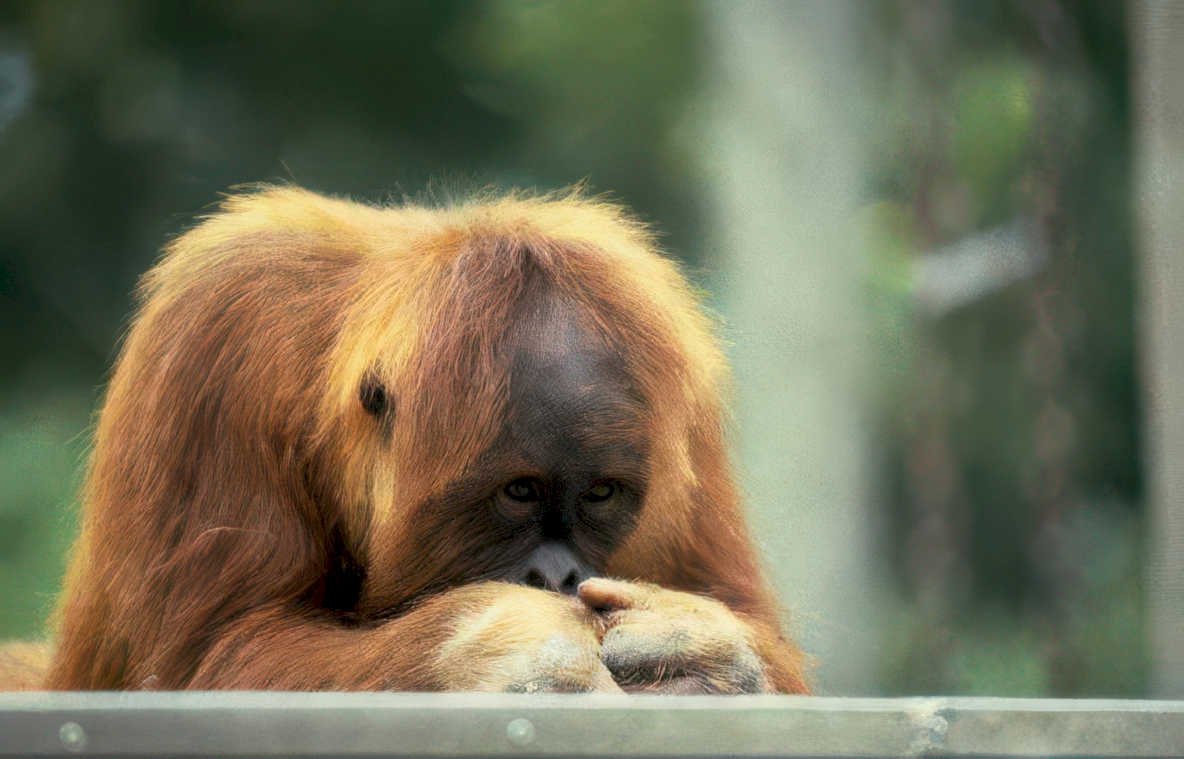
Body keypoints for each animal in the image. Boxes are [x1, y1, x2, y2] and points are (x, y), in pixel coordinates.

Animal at [24, 187, 808, 694]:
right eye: (518, 491)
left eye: (601, 493)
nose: (557, 576)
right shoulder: (212, 345)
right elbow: (206, 657)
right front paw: (499, 647)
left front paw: (695, 647)